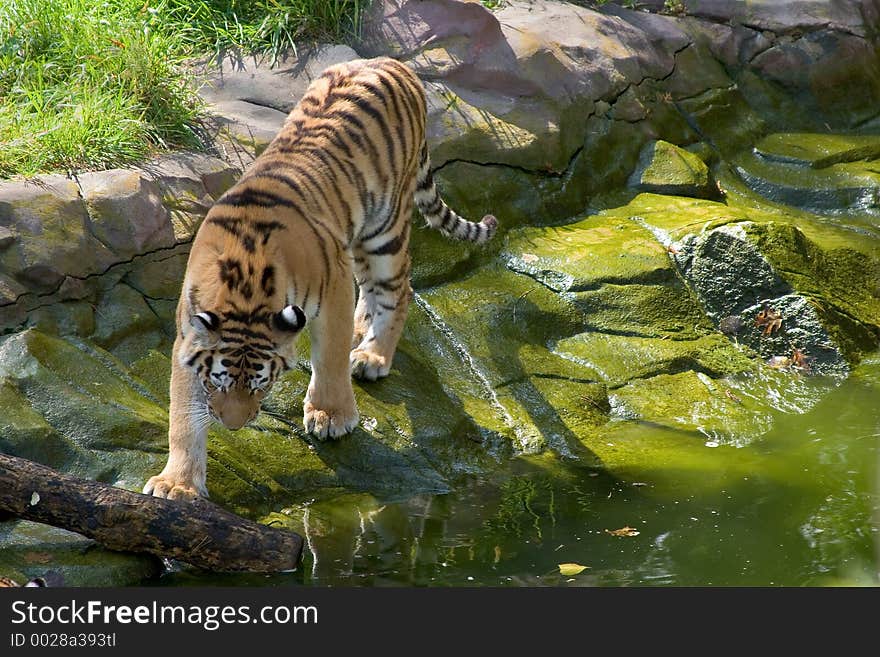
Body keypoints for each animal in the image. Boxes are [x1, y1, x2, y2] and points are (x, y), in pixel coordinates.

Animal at [148, 57, 498, 498]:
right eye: (219, 383)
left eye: (261, 384)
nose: (235, 425)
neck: (246, 285)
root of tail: (390, 62)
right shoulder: (188, 334)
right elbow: (183, 414)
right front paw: (176, 484)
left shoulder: (332, 288)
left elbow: (329, 356)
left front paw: (331, 415)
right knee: (372, 292)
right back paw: (362, 332)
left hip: (384, 230)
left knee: (398, 290)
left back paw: (372, 356)